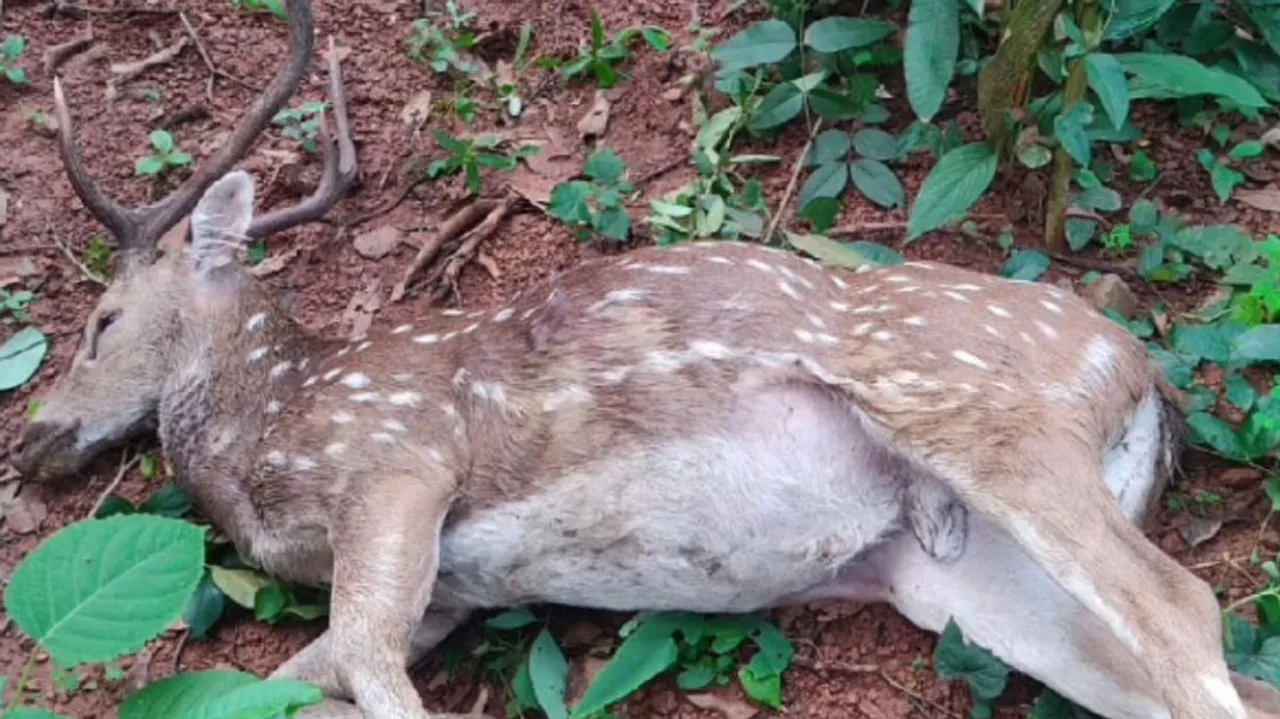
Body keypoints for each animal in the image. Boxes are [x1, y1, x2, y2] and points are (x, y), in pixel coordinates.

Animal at [8, 1, 1280, 718]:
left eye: (102, 318)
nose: (32, 439)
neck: (272, 436)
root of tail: (1143, 374)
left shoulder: (399, 459)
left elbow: (369, 667)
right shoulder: (447, 596)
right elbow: (277, 681)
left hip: (990, 412)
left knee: (1185, 609)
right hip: (954, 574)